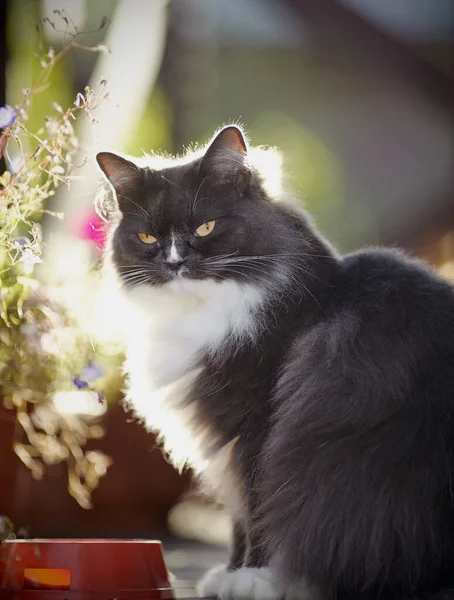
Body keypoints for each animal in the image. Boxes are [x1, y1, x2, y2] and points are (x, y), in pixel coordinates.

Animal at [96, 126, 454, 600]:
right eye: (147, 239)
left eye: (205, 227)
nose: (174, 262)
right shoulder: (228, 441)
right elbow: (239, 518)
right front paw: (229, 573)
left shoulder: (258, 427)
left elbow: (261, 505)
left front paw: (254, 576)